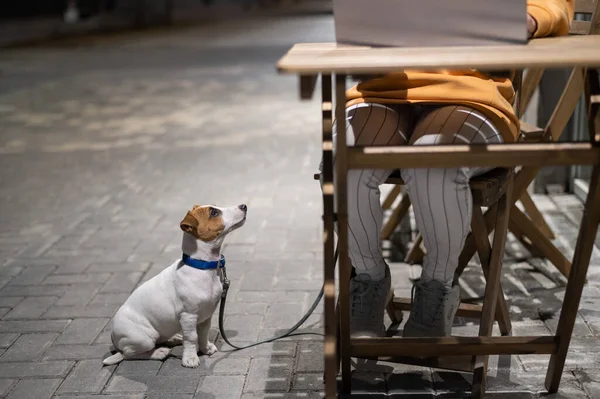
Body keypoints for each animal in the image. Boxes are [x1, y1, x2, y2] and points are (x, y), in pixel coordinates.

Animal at [102, 206, 247, 368]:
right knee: (129, 354)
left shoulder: (206, 315)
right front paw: (190, 358)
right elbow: (191, 337)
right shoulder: (188, 316)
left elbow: (203, 334)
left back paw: (174, 338)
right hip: (143, 339)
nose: (244, 206)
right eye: (214, 212)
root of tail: (113, 337)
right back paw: (158, 352)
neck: (201, 267)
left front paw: (205, 348)